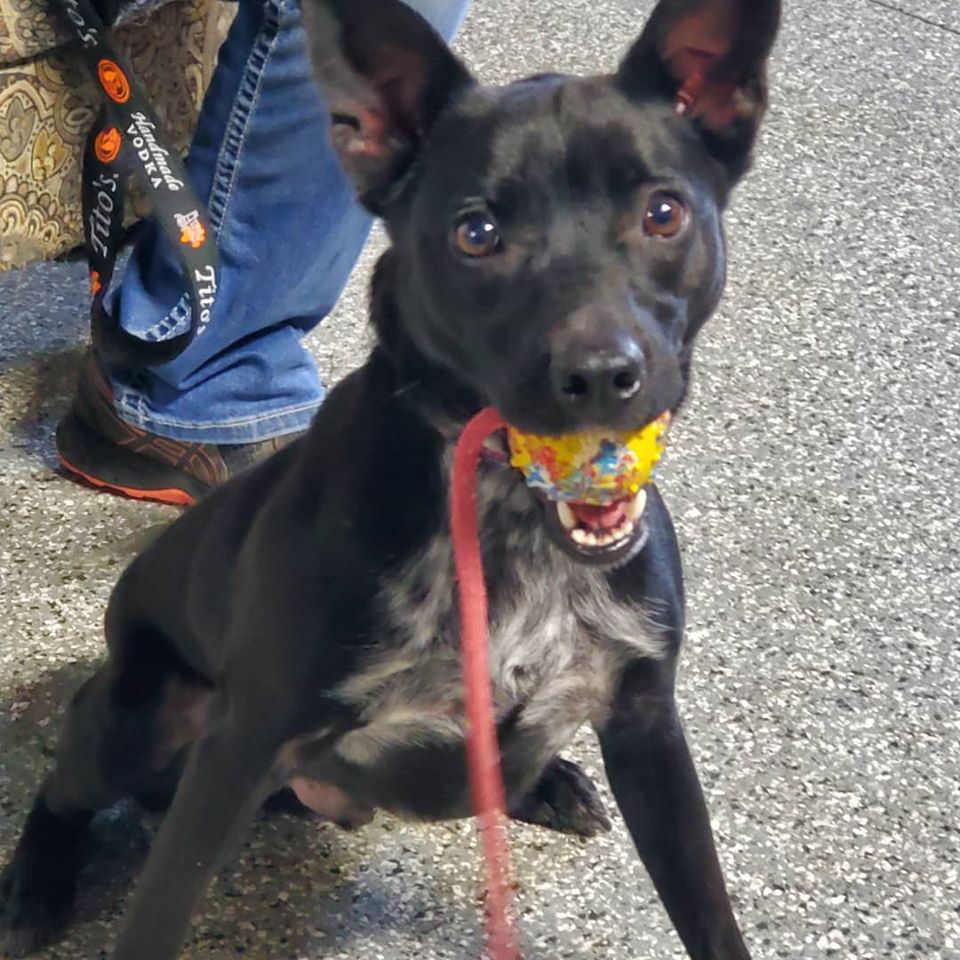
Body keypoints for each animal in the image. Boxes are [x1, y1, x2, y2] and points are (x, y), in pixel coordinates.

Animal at [0, 3, 780, 956]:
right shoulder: (240, 744)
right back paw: (37, 886)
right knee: (63, 785)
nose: (601, 375)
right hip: (141, 717)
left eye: (663, 213)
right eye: (476, 235)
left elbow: (710, 914)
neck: (507, 524)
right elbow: (157, 915)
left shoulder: (647, 727)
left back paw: (548, 779)